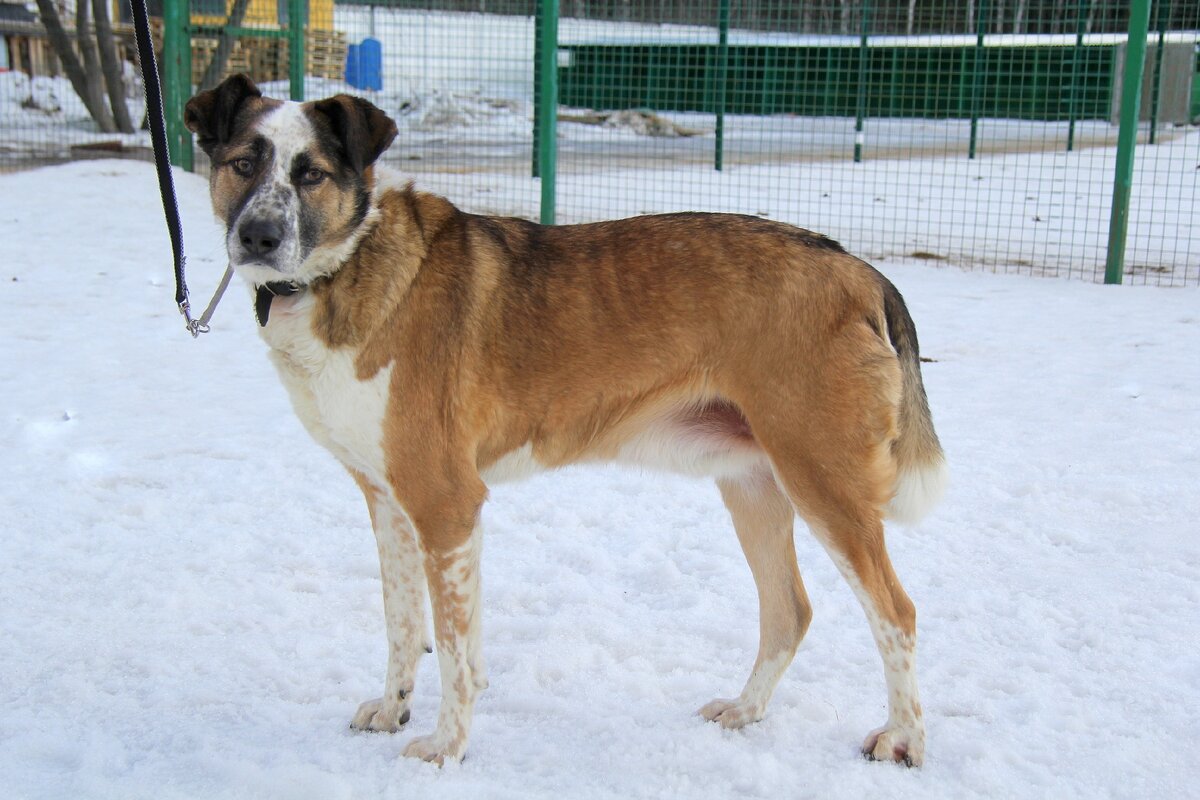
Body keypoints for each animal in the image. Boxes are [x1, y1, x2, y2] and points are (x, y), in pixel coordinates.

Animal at [184, 76, 945, 767]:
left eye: (310, 173)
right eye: (243, 164)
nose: (257, 236)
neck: (345, 266)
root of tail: (857, 269)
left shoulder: (446, 504)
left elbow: (453, 648)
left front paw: (446, 748)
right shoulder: (389, 501)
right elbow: (408, 624)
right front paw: (396, 709)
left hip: (824, 483)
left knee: (897, 612)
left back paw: (902, 739)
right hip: (754, 485)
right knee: (790, 611)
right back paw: (745, 710)